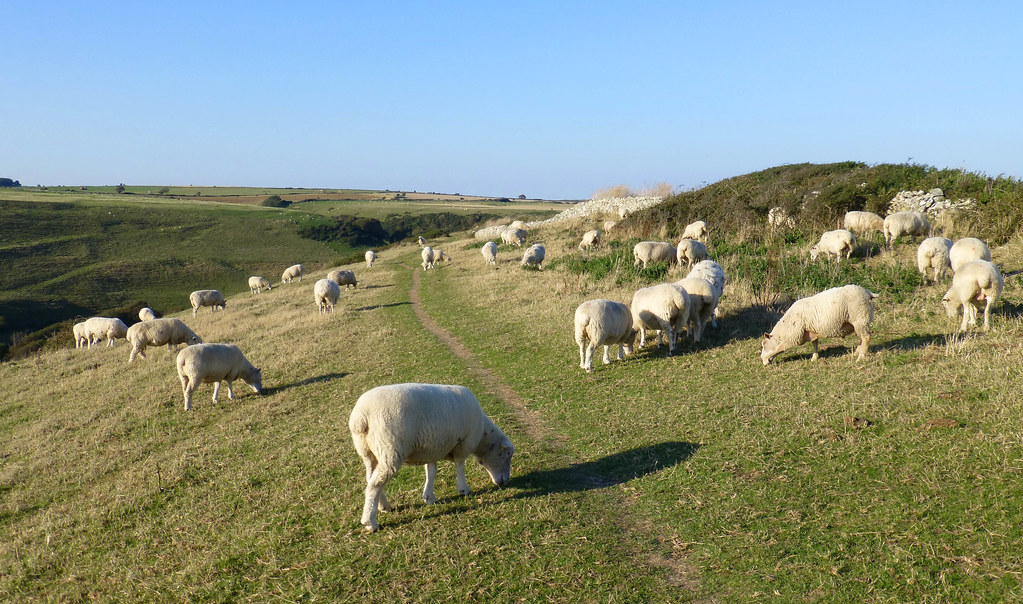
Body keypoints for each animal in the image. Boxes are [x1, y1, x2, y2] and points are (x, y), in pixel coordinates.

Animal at [349, 383, 514, 533]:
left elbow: (431, 471)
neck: (483, 436)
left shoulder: (432, 448)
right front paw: (463, 489)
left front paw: (429, 497)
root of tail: (361, 416)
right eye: (507, 455)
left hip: (368, 452)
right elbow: (460, 465)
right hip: (390, 450)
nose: (505, 481)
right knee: (375, 484)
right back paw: (370, 522)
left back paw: (383, 506)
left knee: (371, 478)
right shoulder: (464, 443)